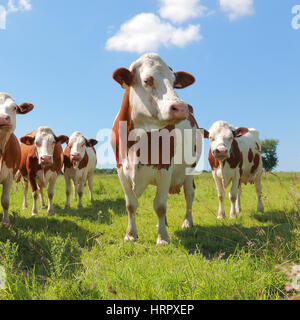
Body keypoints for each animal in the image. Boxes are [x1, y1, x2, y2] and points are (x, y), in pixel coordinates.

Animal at [110, 53, 202, 245]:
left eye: (174, 82)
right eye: (147, 80)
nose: (180, 107)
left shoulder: (165, 169)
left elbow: (159, 206)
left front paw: (162, 238)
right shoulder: (120, 169)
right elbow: (130, 205)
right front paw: (130, 234)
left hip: (190, 169)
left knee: (189, 193)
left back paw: (187, 222)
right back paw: (163, 223)